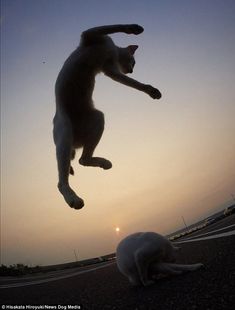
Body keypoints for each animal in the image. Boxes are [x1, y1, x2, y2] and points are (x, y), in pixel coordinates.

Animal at [53, 23, 162, 209]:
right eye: (134, 62)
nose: (131, 71)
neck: (112, 51)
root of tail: (75, 143)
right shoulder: (91, 34)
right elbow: (114, 26)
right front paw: (135, 28)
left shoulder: (112, 71)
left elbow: (135, 84)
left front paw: (151, 90)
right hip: (65, 134)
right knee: (62, 179)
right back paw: (73, 198)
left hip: (97, 118)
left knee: (82, 160)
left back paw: (103, 163)